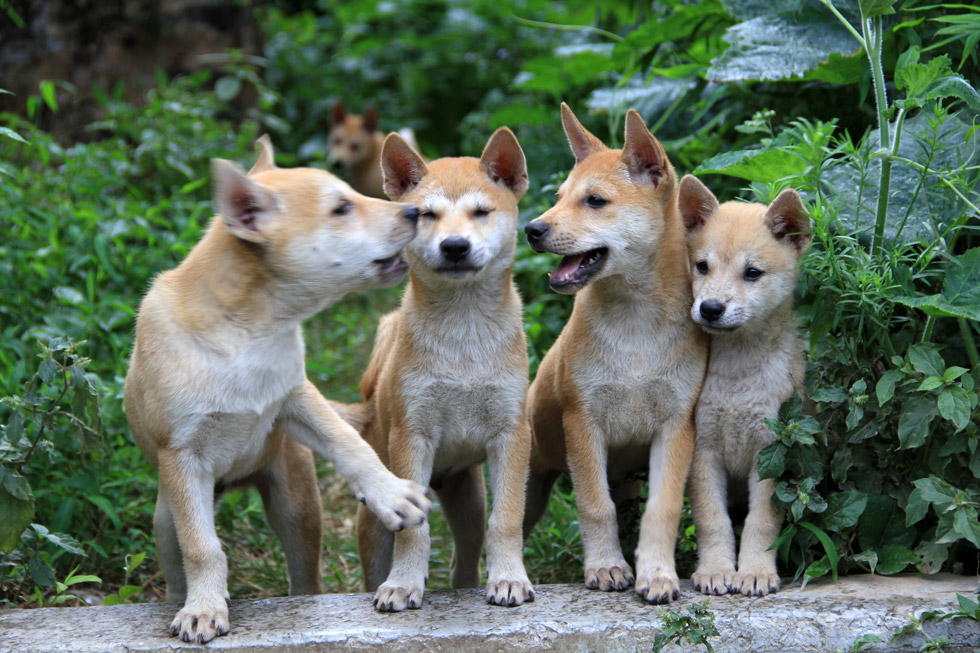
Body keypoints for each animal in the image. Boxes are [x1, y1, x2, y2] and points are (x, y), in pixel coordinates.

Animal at [524, 104, 708, 604]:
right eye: (558, 197)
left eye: (595, 201)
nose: (531, 229)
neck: (636, 326)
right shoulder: (582, 422)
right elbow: (593, 505)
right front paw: (606, 566)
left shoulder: (676, 427)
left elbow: (663, 508)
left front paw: (658, 573)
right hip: (529, 482)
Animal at [680, 173, 812, 596]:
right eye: (702, 266)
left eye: (752, 273)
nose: (710, 309)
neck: (737, 382)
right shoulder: (703, 452)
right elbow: (713, 521)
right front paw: (716, 570)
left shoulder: (769, 455)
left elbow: (761, 523)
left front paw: (754, 571)